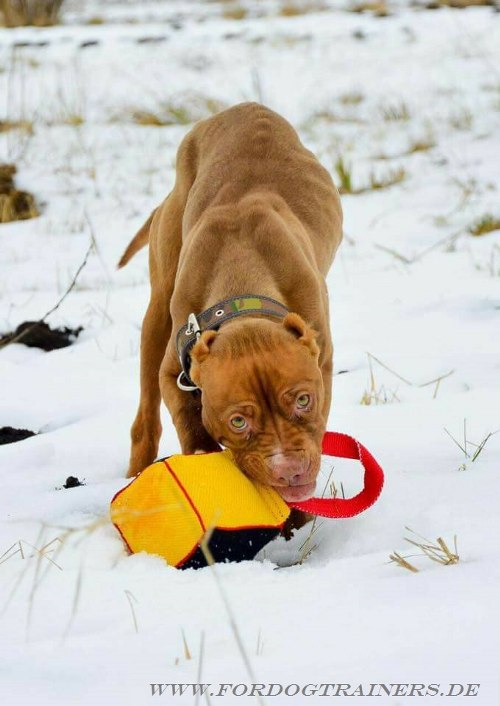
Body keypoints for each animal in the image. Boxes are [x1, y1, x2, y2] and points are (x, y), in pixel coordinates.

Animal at [119, 103, 342, 532]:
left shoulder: (321, 362)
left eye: (303, 400)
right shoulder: (174, 373)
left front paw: (299, 515)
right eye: (238, 421)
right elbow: (191, 424)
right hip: (157, 311)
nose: (288, 471)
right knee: (145, 416)